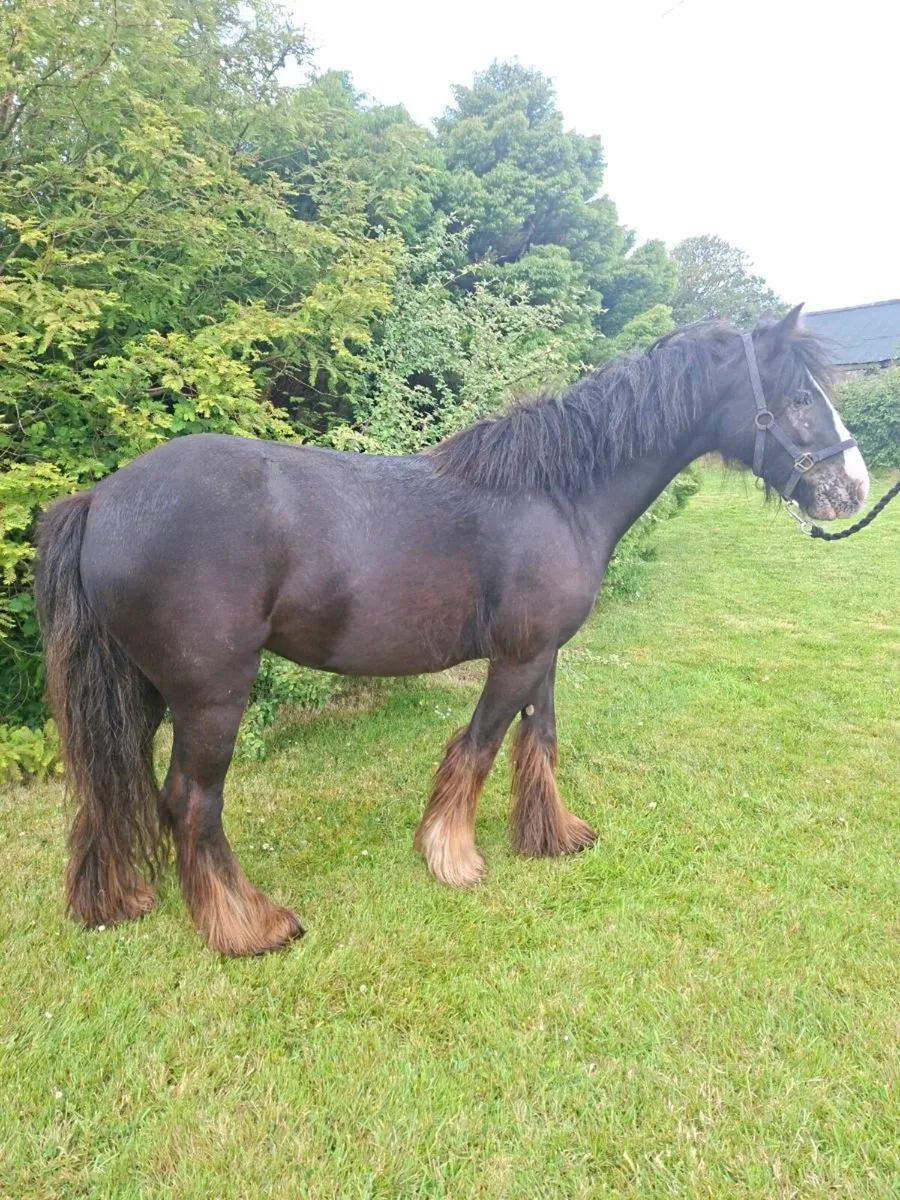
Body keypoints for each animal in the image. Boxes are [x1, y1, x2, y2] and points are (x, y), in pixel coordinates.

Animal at [35, 304, 870, 955]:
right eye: (799, 397)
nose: (853, 488)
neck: (556, 493)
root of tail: (102, 499)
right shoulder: (517, 656)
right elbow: (479, 745)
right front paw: (453, 857)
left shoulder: (545, 655)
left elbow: (540, 741)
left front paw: (551, 836)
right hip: (212, 696)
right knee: (190, 799)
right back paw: (248, 927)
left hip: (141, 691)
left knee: (113, 785)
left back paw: (116, 900)